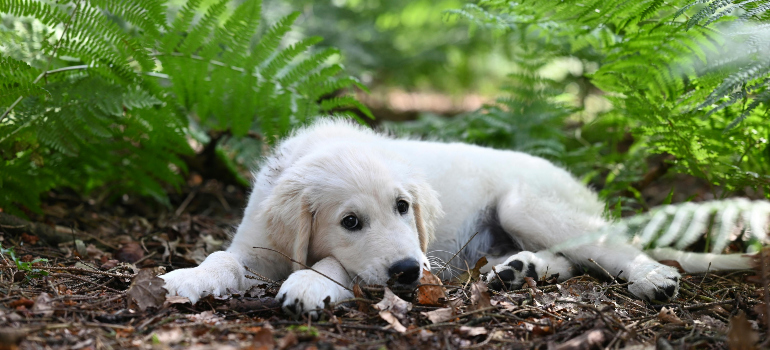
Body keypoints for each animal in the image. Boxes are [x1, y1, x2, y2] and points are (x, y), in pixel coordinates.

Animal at [160, 117, 744, 318]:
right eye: (350, 221)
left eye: (403, 207)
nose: (406, 274)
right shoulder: (254, 246)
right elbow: (221, 260)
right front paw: (187, 278)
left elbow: (335, 265)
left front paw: (308, 284)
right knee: (571, 260)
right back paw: (519, 270)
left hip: (525, 203)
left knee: (609, 251)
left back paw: (653, 278)